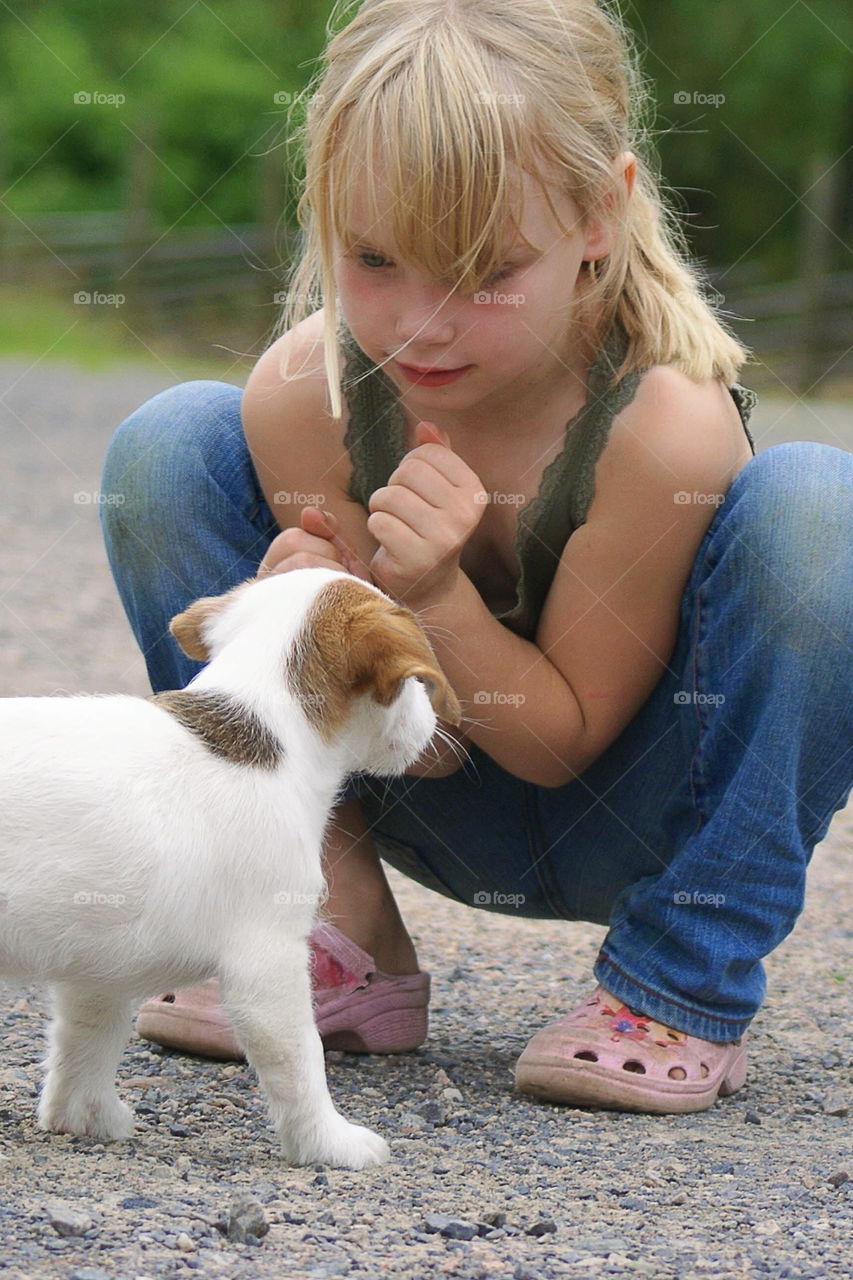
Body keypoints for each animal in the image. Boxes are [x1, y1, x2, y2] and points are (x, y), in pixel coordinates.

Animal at [0, 570, 458, 1172]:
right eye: (409, 684)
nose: (432, 725)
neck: (265, 719)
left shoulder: (98, 971)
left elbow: (88, 1041)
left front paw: (84, 1116)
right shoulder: (268, 966)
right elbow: (302, 1059)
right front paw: (328, 1142)